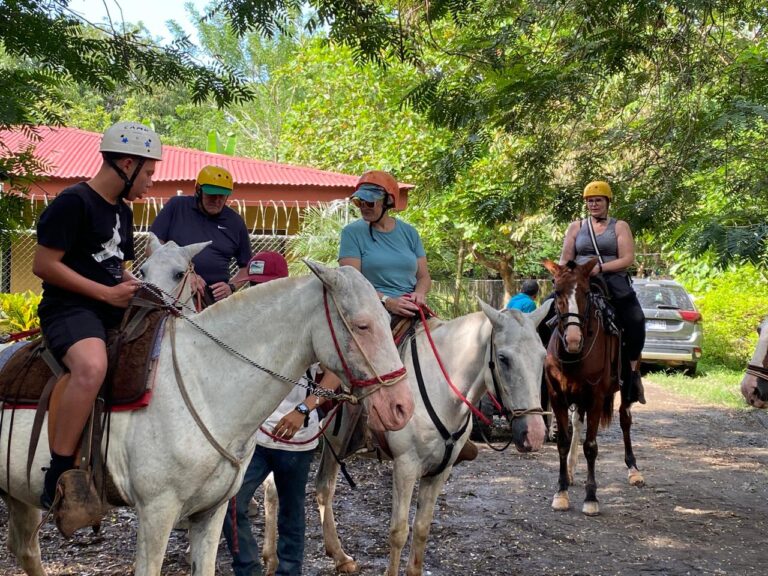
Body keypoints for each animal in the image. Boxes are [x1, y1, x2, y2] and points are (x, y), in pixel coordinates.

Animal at [0, 262, 414, 576]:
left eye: (386, 318)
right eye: (361, 325)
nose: (402, 407)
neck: (206, 383)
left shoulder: (211, 514)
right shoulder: (156, 513)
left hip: (17, 494)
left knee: (26, 551)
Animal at [260, 302, 548, 576]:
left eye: (543, 356)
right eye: (503, 358)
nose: (534, 434)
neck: (440, 386)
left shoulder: (440, 471)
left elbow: (421, 528)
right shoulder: (406, 465)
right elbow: (398, 531)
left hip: (333, 446)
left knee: (323, 488)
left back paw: (340, 557)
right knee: (274, 490)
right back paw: (271, 558)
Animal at [544, 258, 644, 516]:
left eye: (586, 293)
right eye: (556, 291)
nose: (573, 339)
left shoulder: (596, 397)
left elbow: (591, 446)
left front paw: (591, 498)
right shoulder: (557, 397)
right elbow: (563, 441)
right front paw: (561, 492)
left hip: (624, 389)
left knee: (625, 419)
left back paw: (634, 470)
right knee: (578, 423)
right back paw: (571, 469)